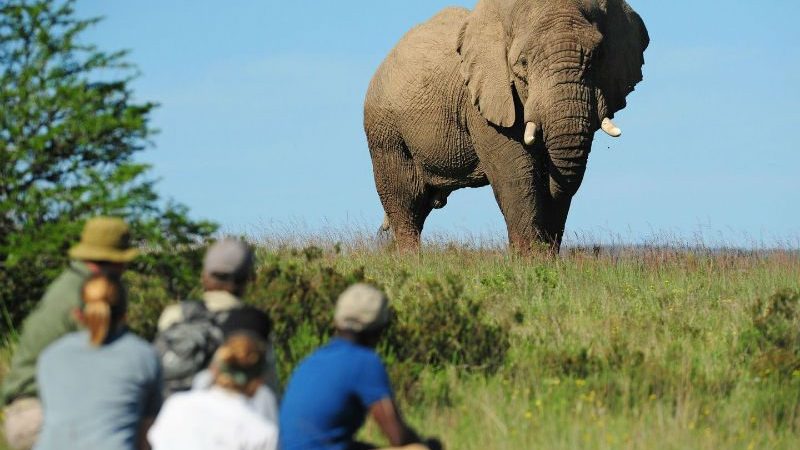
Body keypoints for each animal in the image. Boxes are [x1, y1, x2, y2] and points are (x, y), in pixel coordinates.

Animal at [366, 0, 648, 251]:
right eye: (522, 63)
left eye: (599, 56)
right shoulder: (484, 103)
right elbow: (516, 175)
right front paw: (530, 262)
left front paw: (547, 258)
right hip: (385, 130)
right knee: (405, 203)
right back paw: (411, 261)